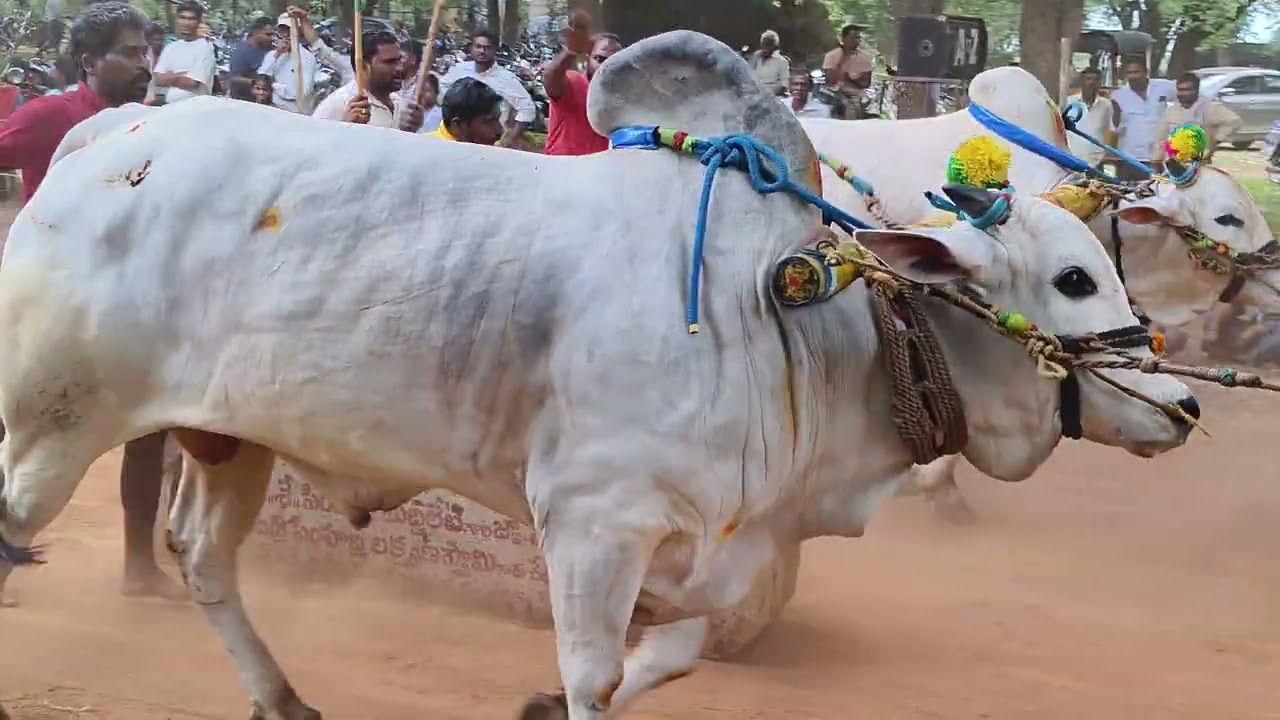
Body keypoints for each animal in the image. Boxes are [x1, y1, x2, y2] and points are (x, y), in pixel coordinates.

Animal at [0, 32, 1195, 720]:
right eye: (1076, 277)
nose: (1184, 404)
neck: (798, 320)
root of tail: (115, 132)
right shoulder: (593, 521)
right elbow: (594, 676)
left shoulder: (721, 542)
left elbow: (668, 659)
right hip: (51, 422)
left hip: (228, 439)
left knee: (202, 557)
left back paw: (284, 700)